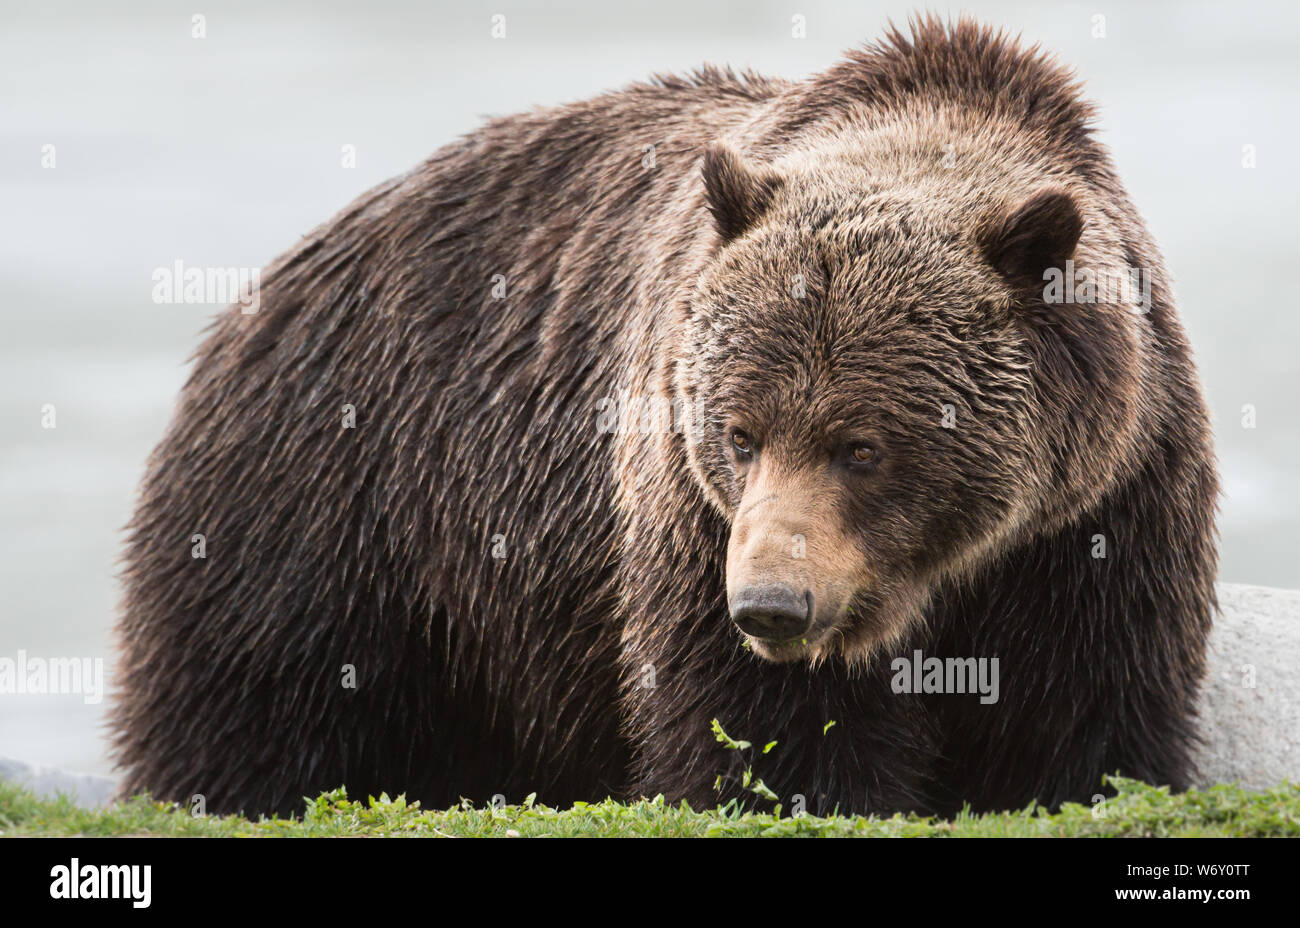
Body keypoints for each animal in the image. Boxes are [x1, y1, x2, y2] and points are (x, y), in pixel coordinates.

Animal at [112, 16, 1218, 818]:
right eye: (739, 431)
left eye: (862, 445)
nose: (772, 605)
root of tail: (265, 289)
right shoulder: (684, 506)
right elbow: (758, 724)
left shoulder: (1104, 505)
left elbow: (1087, 709)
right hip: (339, 513)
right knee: (260, 704)